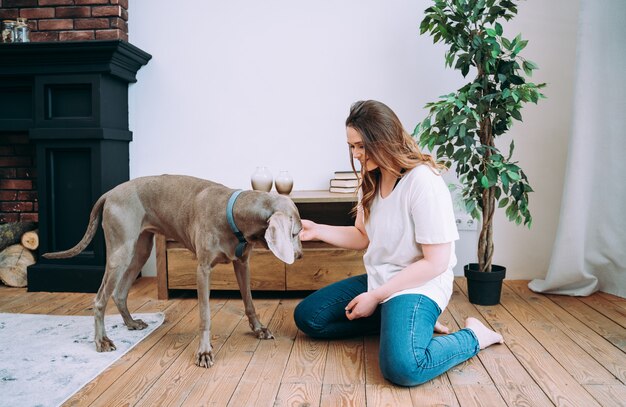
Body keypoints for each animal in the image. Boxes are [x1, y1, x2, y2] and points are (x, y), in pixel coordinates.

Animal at [42, 175, 302, 370]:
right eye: (295, 233)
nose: (299, 256)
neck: (233, 213)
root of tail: (109, 193)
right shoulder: (202, 270)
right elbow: (205, 315)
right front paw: (204, 352)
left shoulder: (242, 264)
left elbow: (249, 301)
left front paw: (259, 329)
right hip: (120, 251)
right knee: (99, 299)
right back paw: (102, 341)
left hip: (140, 250)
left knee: (119, 292)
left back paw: (131, 323)